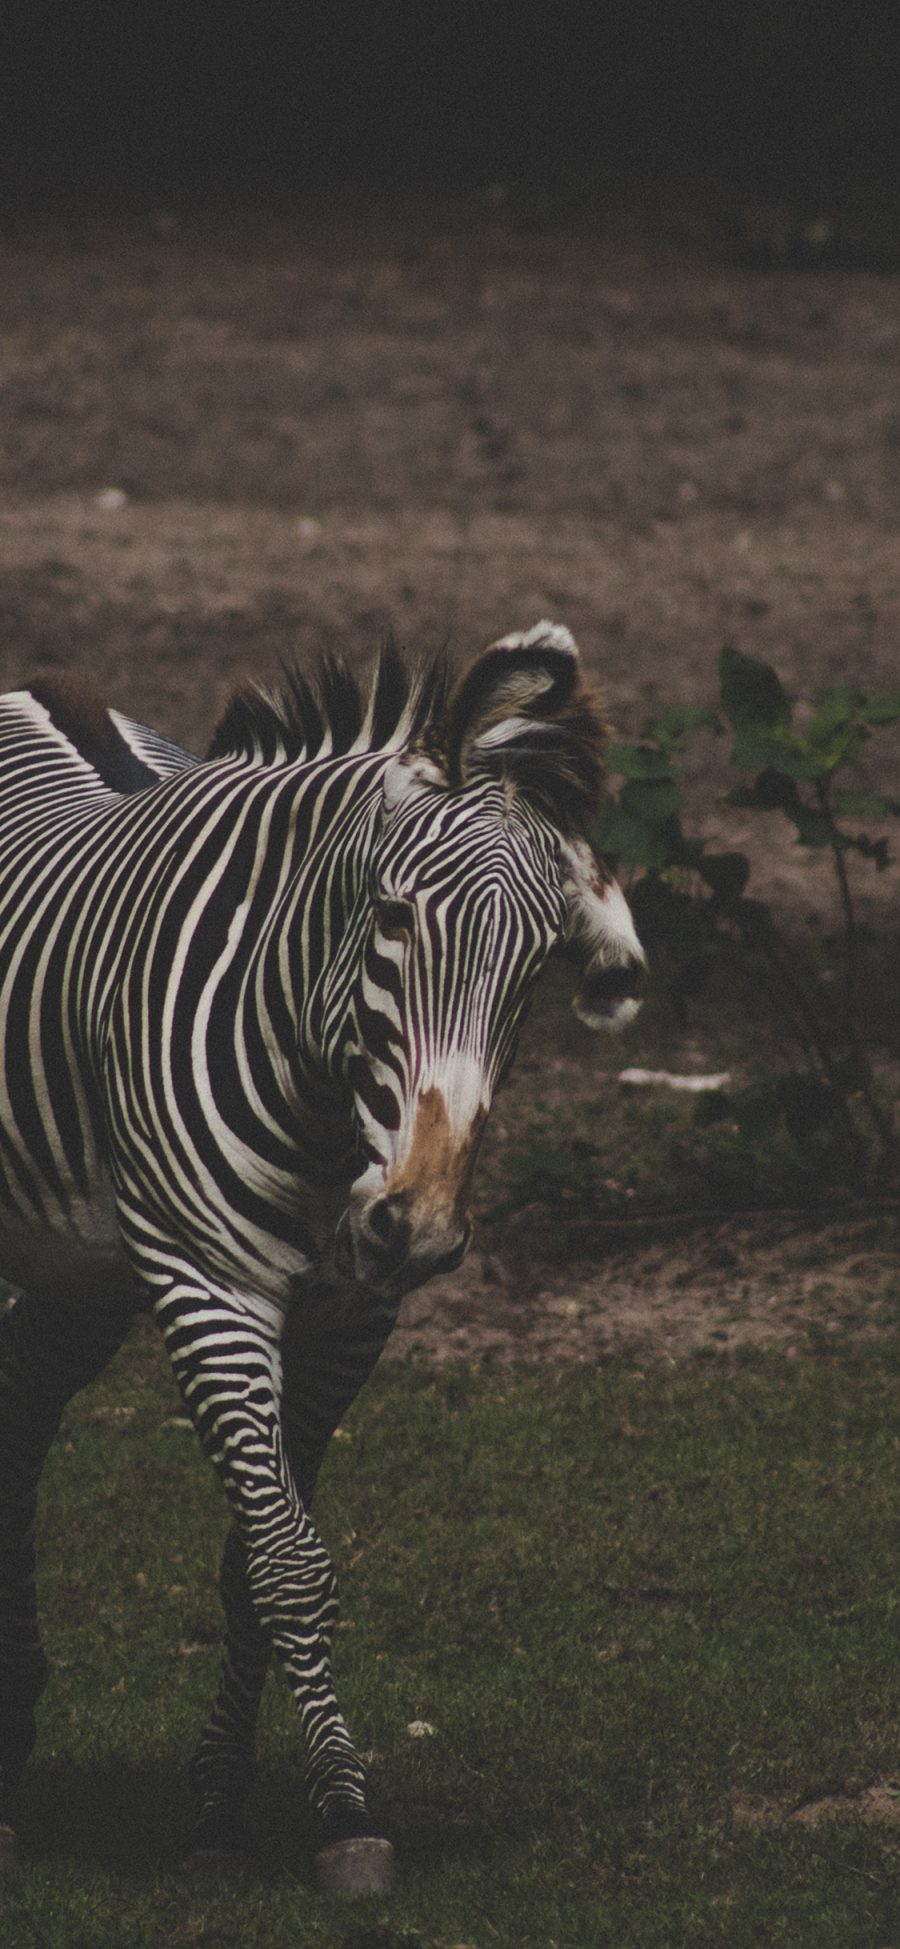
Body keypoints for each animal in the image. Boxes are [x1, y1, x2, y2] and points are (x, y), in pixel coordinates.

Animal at [0, 619, 642, 1886]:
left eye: (536, 965)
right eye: (390, 916)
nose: (419, 1222)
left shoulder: (348, 1317)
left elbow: (255, 1560)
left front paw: (229, 1797)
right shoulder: (209, 1286)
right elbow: (290, 1559)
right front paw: (342, 1811)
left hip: (74, 1264)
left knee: (22, 1396)